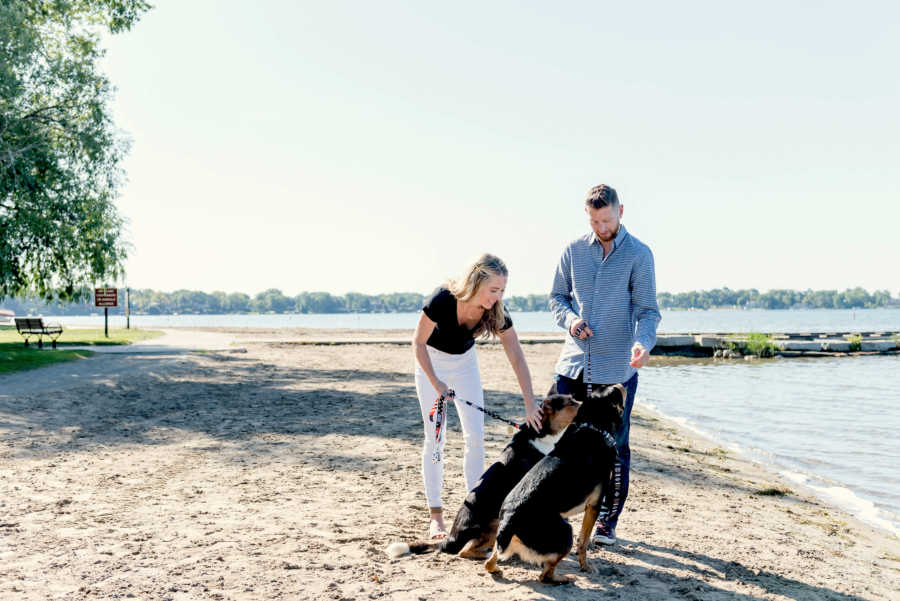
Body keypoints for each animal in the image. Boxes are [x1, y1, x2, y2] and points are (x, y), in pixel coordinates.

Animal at [384, 394, 580, 556]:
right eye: (570, 402)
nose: (581, 401)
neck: (539, 434)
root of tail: (451, 539)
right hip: (493, 523)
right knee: (464, 552)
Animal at [482, 382, 624, 584]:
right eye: (616, 392)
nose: (621, 383)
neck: (594, 427)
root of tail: (510, 518)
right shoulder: (594, 506)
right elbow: (583, 542)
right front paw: (586, 567)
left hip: (500, 539)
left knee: (490, 562)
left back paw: (497, 570)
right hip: (565, 532)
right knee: (545, 575)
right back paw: (564, 578)